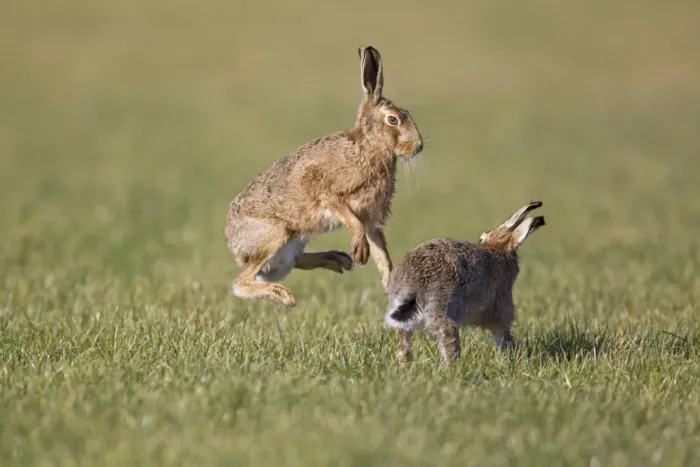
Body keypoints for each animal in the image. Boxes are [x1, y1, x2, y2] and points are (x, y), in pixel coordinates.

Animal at [225, 46, 424, 307]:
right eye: (393, 119)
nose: (419, 146)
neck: (368, 147)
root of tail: (233, 244)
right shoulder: (327, 191)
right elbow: (351, 220)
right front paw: (360, 252)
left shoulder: (371, 220)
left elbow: (382, 255)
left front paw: (389, 284)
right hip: (275, 234)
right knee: (241, 282)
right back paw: (283, 295)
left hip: (292, 242)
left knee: (292, 262)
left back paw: (337, 259)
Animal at [384, 201, 546, 363]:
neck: (498, 249)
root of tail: (414, 285)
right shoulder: (501, 309)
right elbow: (502, 335)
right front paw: (512, 355)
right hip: (445, 309)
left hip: (404, 320)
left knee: (403, 345)